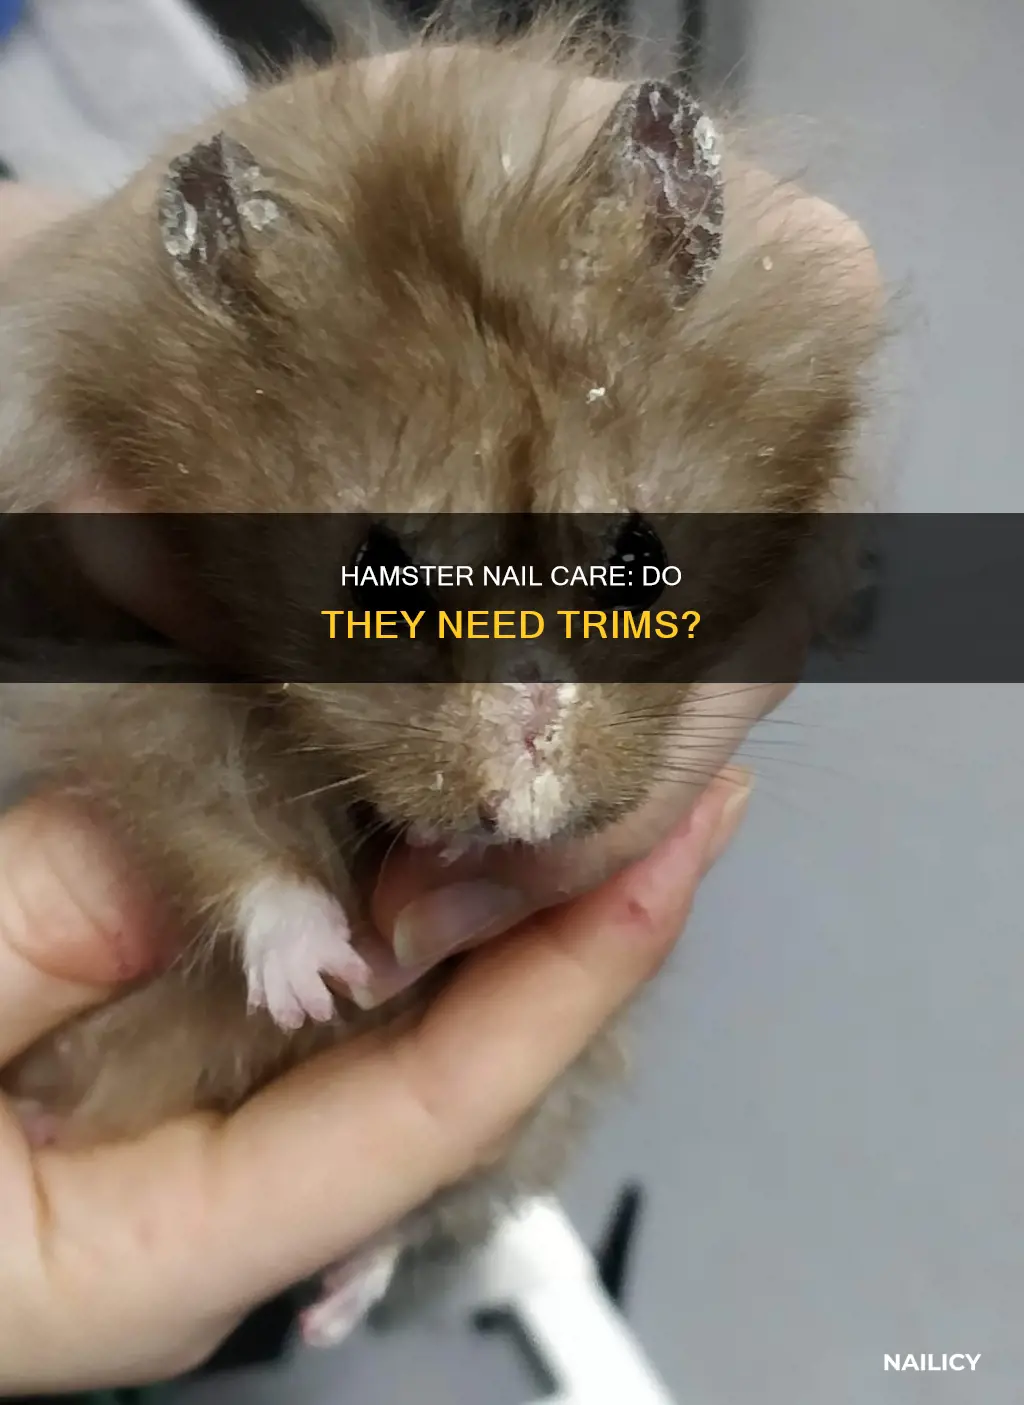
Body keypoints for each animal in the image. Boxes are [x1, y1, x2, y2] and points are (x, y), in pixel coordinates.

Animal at [0, 23, 880, 1344]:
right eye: (375, 570)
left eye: (639, 553)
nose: (518, 816)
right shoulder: (113, 691)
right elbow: (215, 828)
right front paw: (321, 985)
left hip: (541, 1118)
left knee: (422, 1218)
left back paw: (330, 1307)